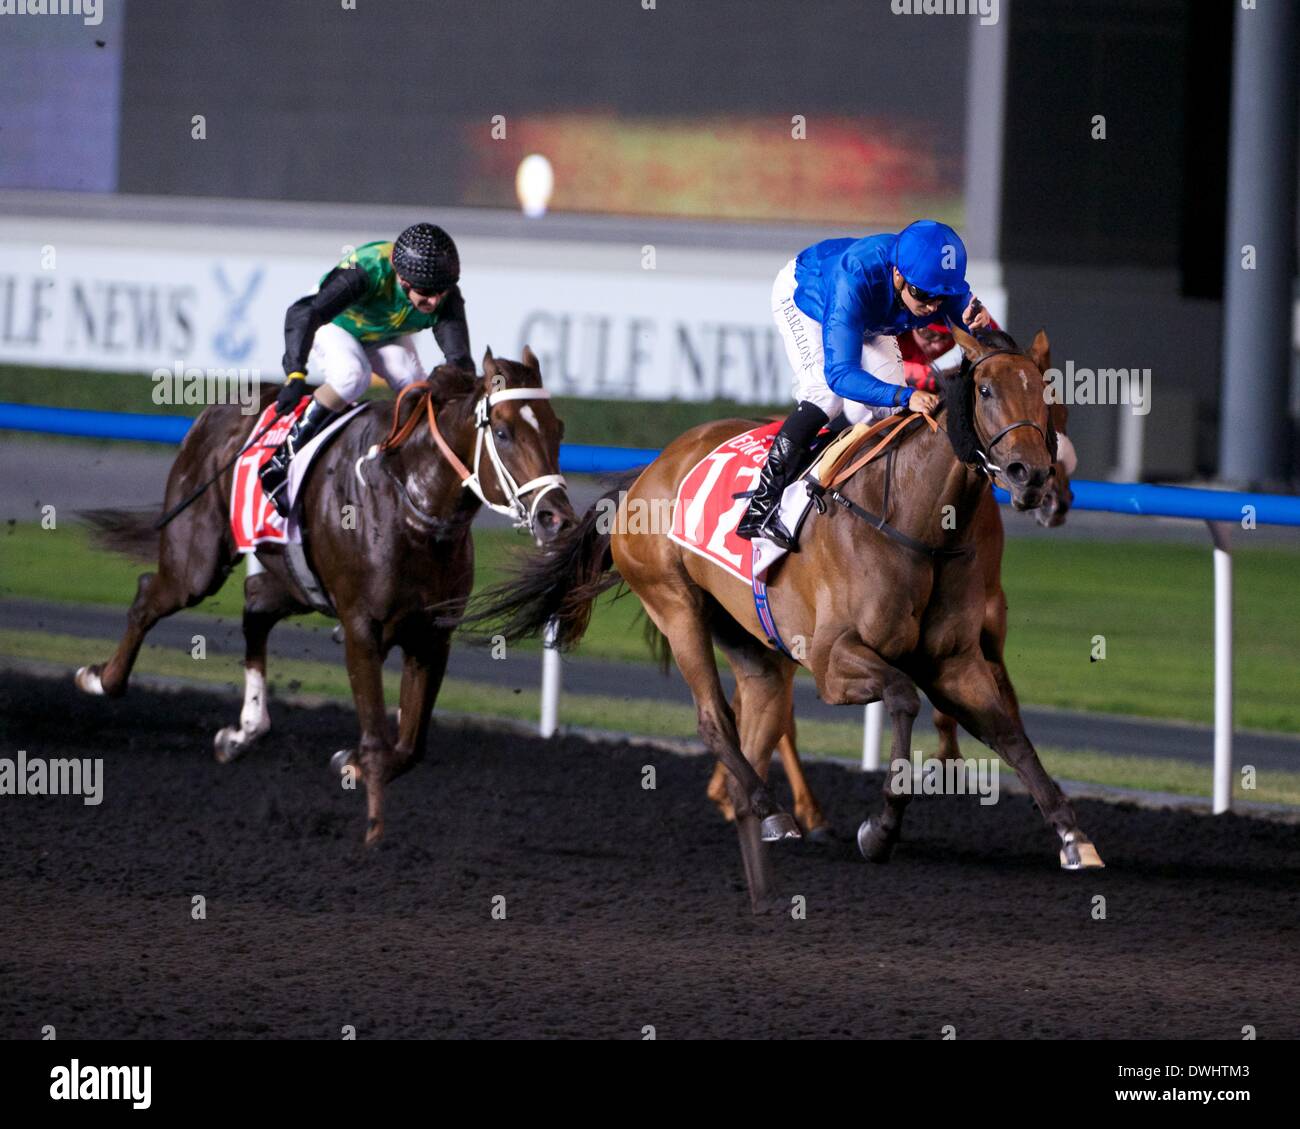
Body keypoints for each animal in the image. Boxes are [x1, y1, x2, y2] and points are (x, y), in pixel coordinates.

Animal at [75, 347, 575, 845]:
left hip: (292, 579)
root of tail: (212, 412)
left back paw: (243, 731)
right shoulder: (362, 628)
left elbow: (409, 747)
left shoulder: (431, 636)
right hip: (196, 561)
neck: (413, 505)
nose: (556, 518)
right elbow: (377, 739)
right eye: (504, 432)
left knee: (254, 607)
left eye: (558, 428)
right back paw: (99, 678)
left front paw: (347, 763)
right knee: (150, 594)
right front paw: (372, 832)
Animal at [471, 326, 1103, 911]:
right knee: (713, 717)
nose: (1031, 476)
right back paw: (772, 810)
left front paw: (1073, 836)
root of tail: (648, 472)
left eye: (1050, 395)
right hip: (675, 605)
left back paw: (757, 810)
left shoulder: (957, 662)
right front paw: (879, 831)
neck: (915, 521)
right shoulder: (832, 661)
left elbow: (1010, 732)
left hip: (750, 636)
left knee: (760, 711)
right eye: (988, 390)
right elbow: (903, 697)